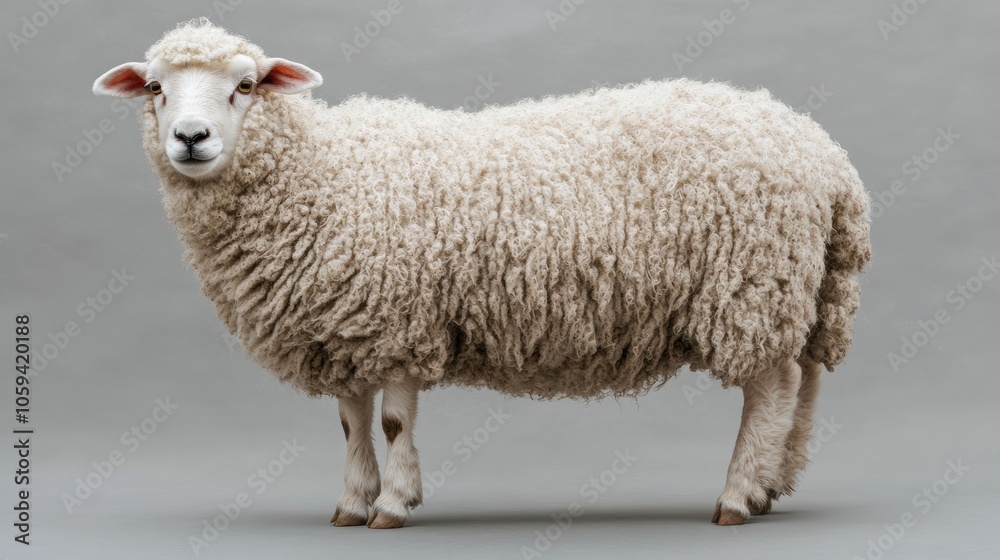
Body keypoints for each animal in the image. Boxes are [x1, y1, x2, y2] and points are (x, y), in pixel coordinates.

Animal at [93, 20, 871, 529]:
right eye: (155, 88)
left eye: (247, 86)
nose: (190, 138)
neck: (322, 174)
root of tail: (825, 155)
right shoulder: (343, 325)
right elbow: (351, 423)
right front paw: (350, 504)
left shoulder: (397, 319)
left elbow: (394, 421)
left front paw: (393, 504)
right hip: (796, 286)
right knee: (803, 381)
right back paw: (773, 485)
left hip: (752, 284)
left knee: (770, 388)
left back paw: (738, 496)